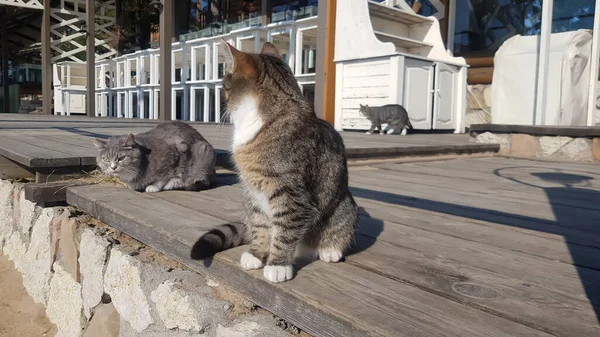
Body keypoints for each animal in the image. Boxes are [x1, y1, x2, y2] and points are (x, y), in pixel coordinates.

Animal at [192, 40, 358, 282]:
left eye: (224, 87)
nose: (222, 100)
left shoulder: (291, 193)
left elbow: (285, 231)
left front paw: (278, 264)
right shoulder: (253, 191)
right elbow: (260, 224)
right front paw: (257, 254)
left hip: (344, 205)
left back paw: (329, 249)